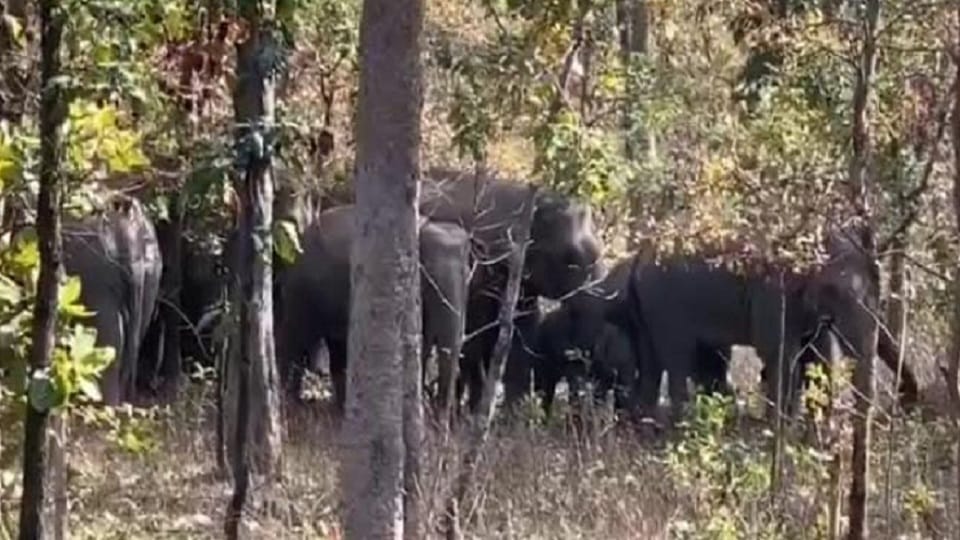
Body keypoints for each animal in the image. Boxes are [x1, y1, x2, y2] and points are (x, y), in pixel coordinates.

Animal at [278, 204, 471, 414]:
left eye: (467, 276)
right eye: (428, 280)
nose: (440, 417)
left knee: (337, 349)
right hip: (302, 292)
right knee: (296, 341)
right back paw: (291, 405)